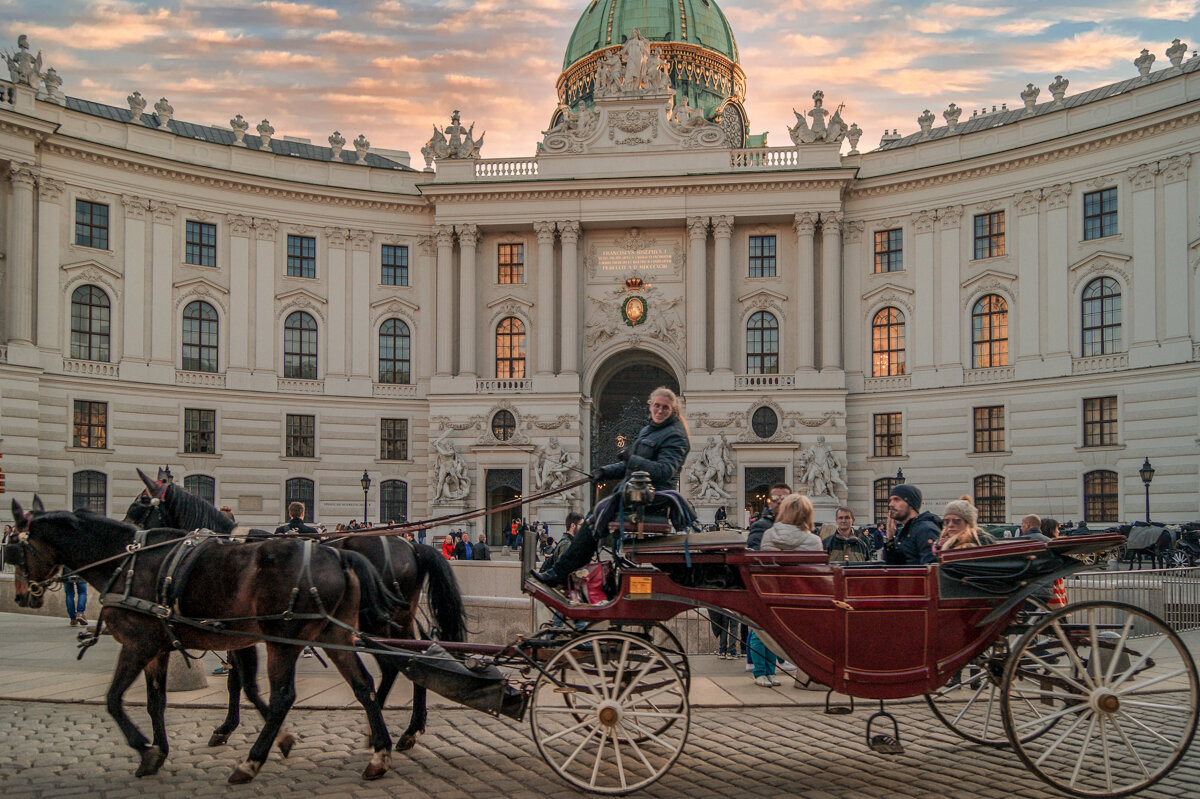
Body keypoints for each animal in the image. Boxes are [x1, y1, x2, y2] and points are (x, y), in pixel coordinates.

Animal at [9, 494, 403, 782]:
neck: (127, 563)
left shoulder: (140, 643)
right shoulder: (172, 646)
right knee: (364, 685)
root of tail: (338, 554)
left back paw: (250, 763)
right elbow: (159, 701)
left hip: (284, 640)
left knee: (285, 697)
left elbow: (114, 699)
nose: (22, 596)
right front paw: (160, 751)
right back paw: (379, 754)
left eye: (14, 549)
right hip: (333, 633)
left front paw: (147, 750)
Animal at [123, 470, 468, 748]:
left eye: (140, 504)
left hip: (381, 620)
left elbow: (239, 682)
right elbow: (240, 681)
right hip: (388, 619)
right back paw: (396, 727)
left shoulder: (234, 627)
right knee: (407, 659)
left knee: (406, 660)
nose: (127, 544)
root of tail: (412, 545)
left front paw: (230, 727)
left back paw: (399, 729)